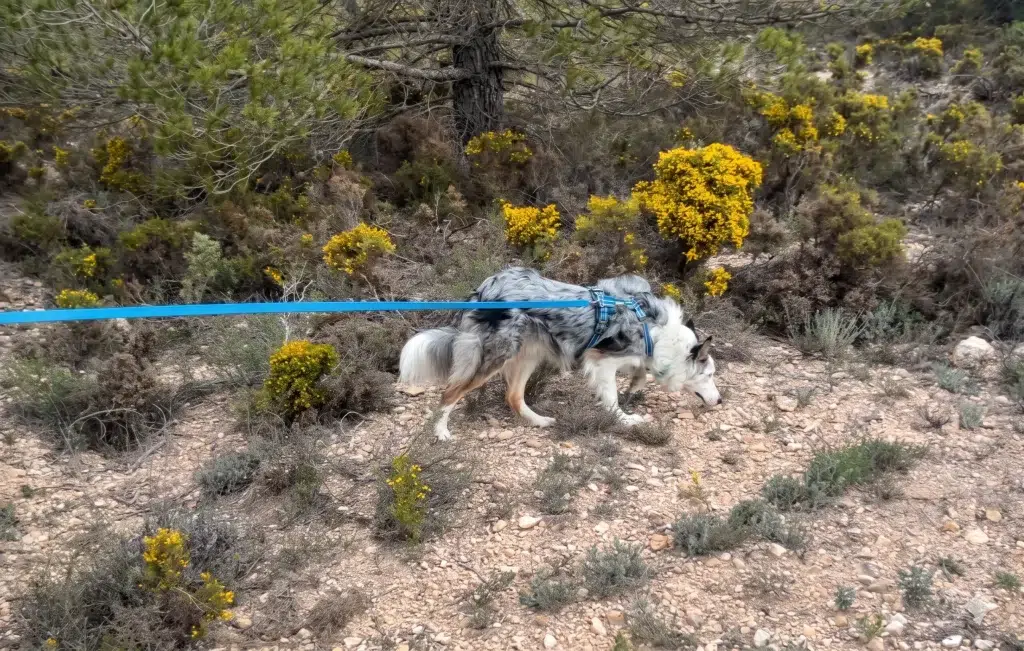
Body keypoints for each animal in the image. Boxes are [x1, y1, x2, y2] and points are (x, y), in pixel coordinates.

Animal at [398, 267, 721, 441]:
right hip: (496, 355)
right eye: (708, 375)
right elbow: (612, 398)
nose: (720, 401)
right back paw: (440, 431)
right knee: (450, 393)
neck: (659, 331)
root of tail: (485, 289)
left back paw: (539, 421)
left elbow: (637, 374)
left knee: (513, 396)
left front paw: (636, 385)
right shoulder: (603, 361)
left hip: (527, 354)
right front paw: (625, 418)